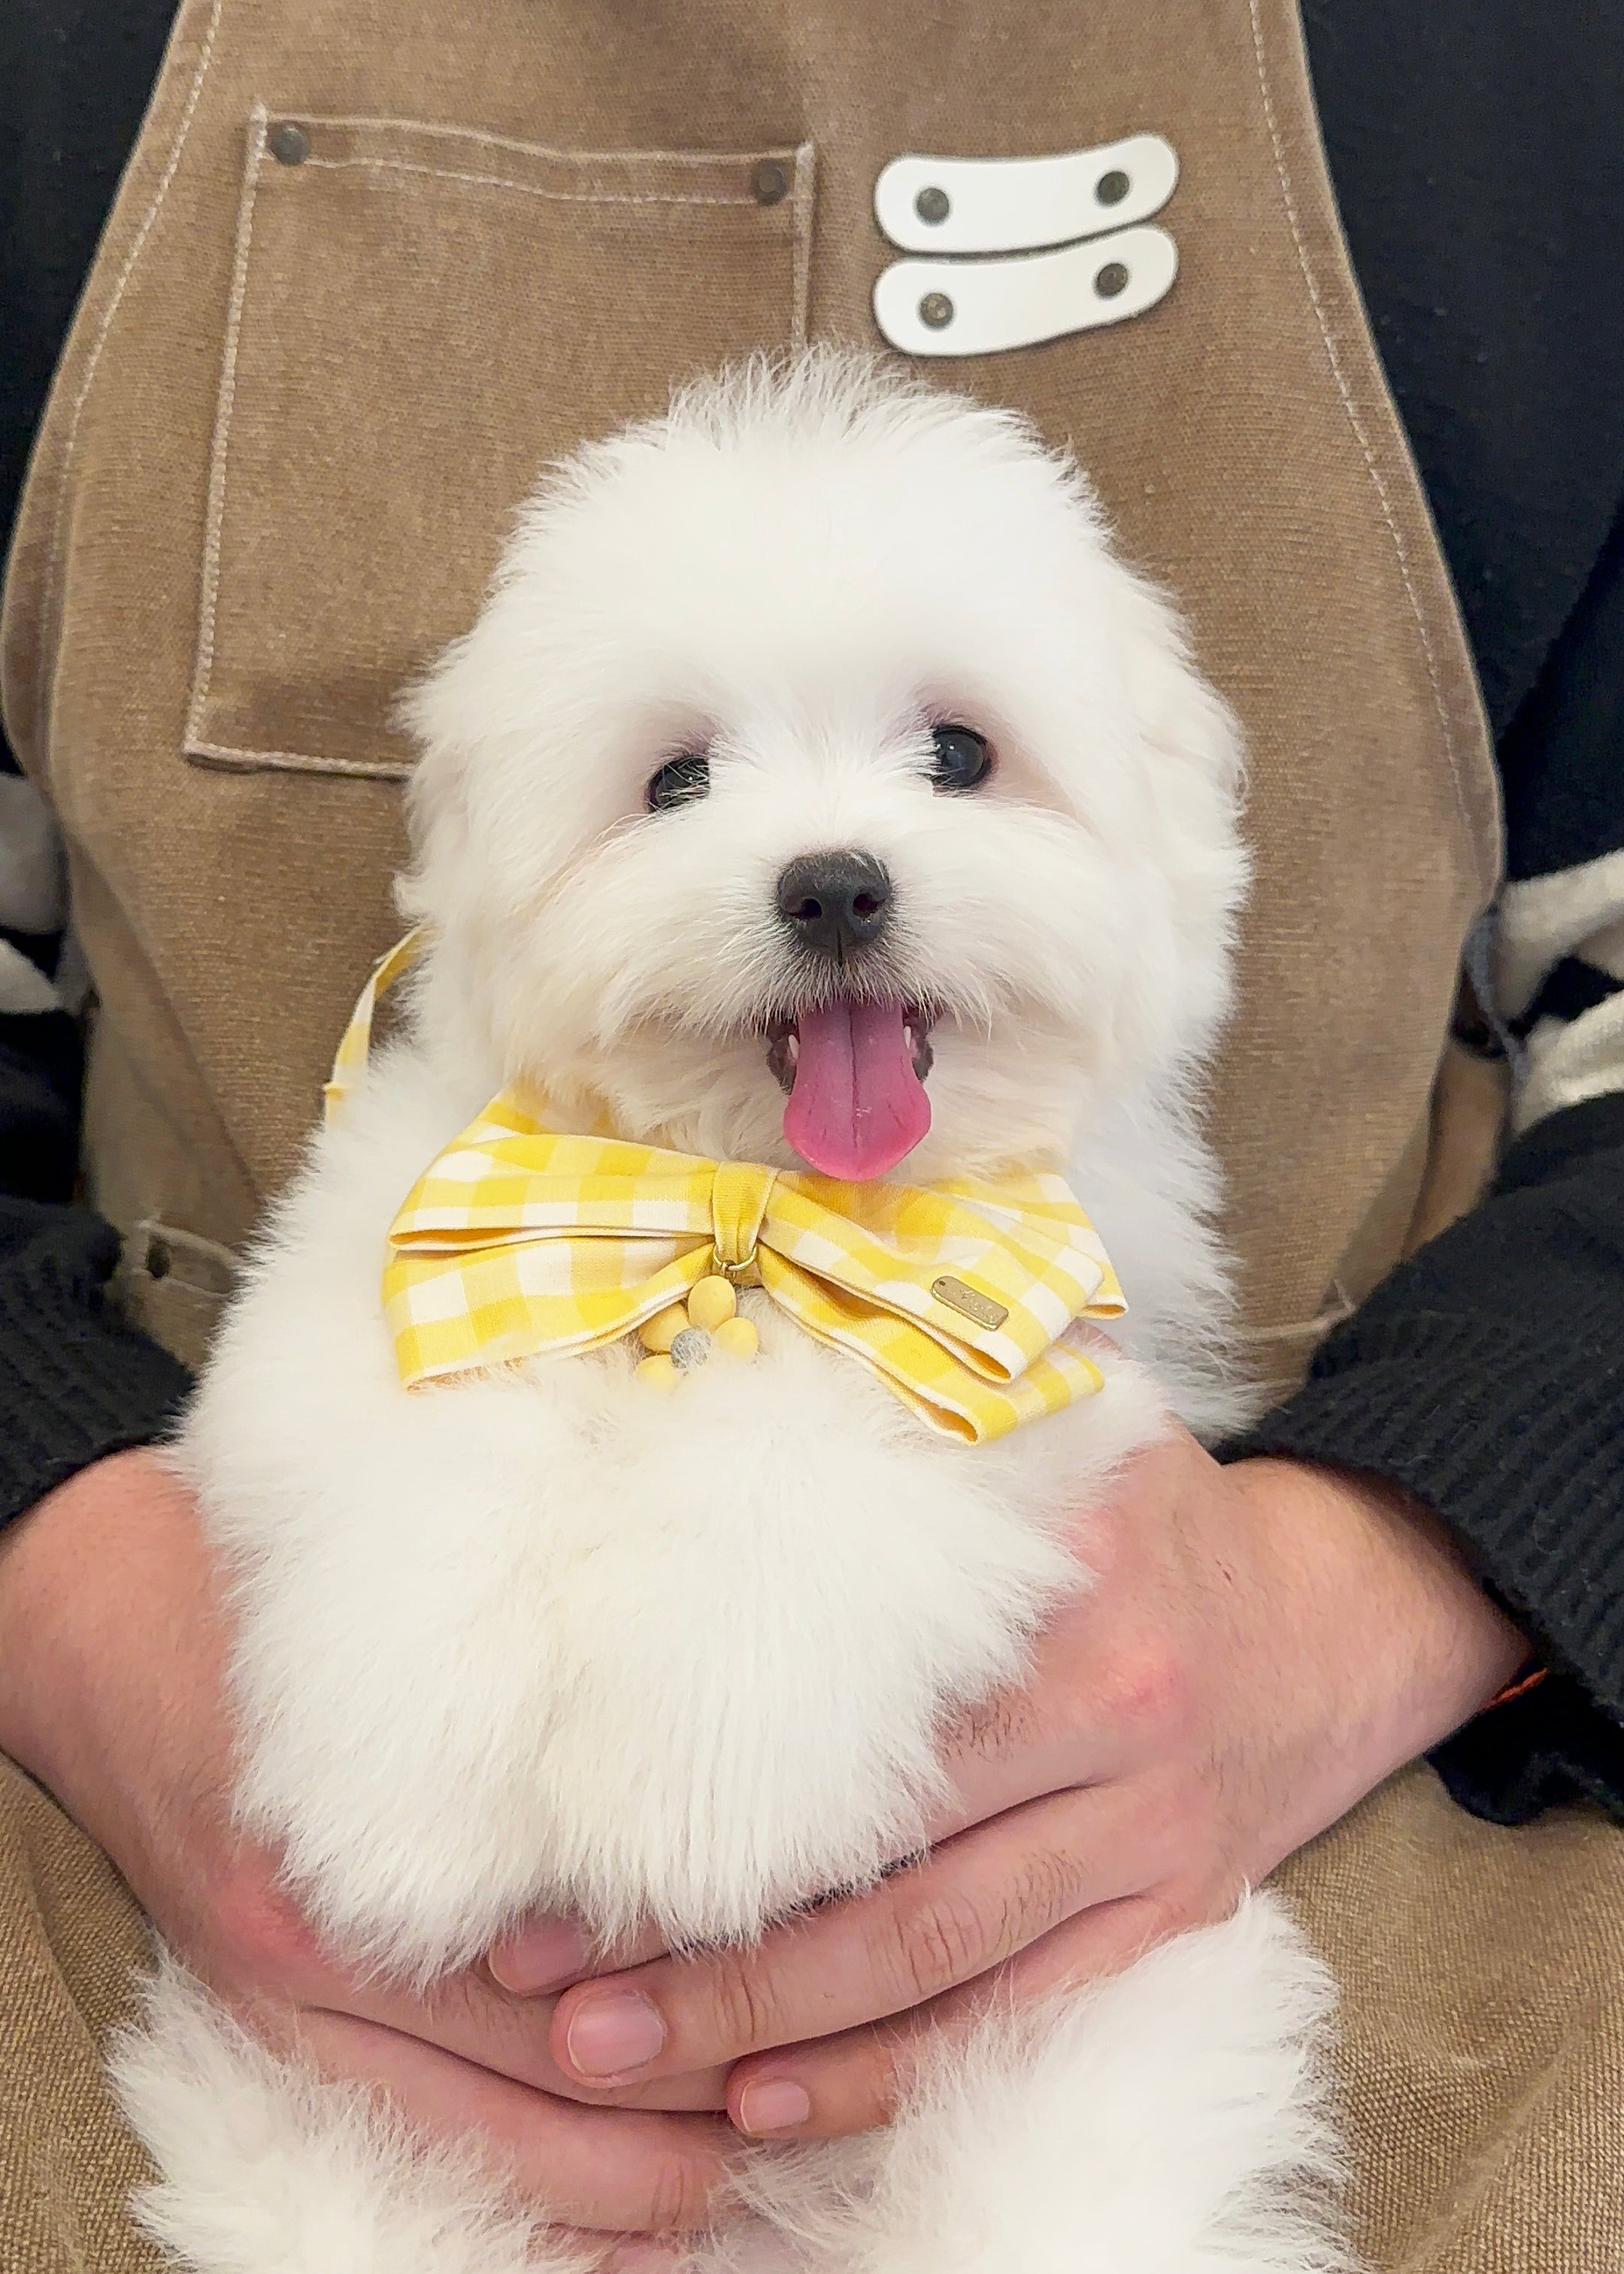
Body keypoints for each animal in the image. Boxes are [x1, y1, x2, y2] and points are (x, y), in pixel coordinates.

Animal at [114, 345, 1346, 2264]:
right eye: (677, 780)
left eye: (961, 754)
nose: (834, 881)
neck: (738, 1199)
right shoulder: (399, 1243)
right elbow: (428, 1454)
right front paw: (408, 1795)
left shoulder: (1043, 1364)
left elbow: (810, 1470)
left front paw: (702, 1775)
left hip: (1098, 2024)